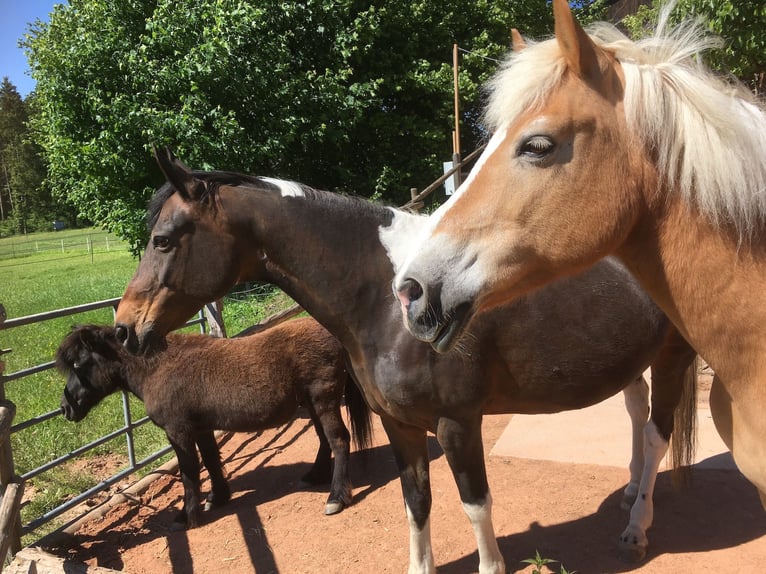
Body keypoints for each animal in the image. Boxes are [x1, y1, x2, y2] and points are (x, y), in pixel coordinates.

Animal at [58, 320, 374, 532]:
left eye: (79, 366)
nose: (65, 408)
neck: (157, 367)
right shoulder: (201, 428)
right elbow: (211, 461)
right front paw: (218, 497)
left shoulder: (179, 432)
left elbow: (189, 474)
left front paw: (187, 516)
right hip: (311, 403)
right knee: (324, 440)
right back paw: (315, 476)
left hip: (324, 400)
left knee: (339, 440)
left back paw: (336, 497)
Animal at [115, 147, 704, 572]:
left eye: (162, 240)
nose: (124, 327)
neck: (388, 296)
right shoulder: (398, 424)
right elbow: (415, 502)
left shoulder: (458, 424)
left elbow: (475, 504)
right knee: (637, 415)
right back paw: (629, 491)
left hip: (674, 355)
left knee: (658, 433)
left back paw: (637, 526)